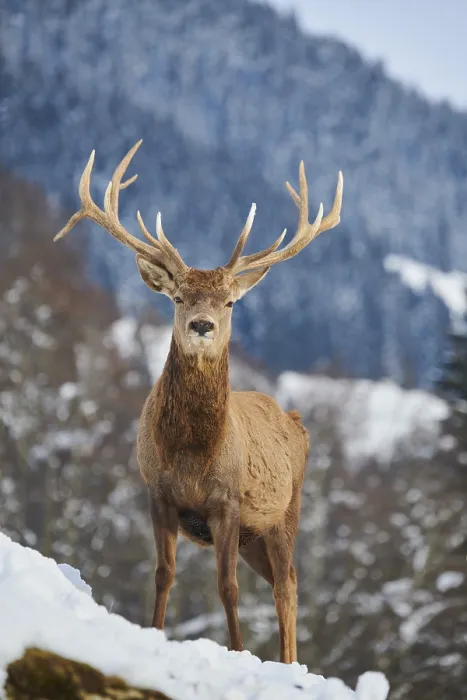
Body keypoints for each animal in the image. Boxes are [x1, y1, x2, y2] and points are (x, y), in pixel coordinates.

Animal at [54, 140, 343, 664]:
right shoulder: (158, 493)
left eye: (229, 302)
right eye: (178, 297)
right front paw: (155, 631)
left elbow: (227, 587)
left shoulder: (227, 502)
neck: (192, 456)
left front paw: (238, 650)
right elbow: (163, 573)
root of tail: (294, 420)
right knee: (283, 580)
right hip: (256, 535)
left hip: (286, 511)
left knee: (287, 584)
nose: (203, 325)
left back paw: (289, 661)